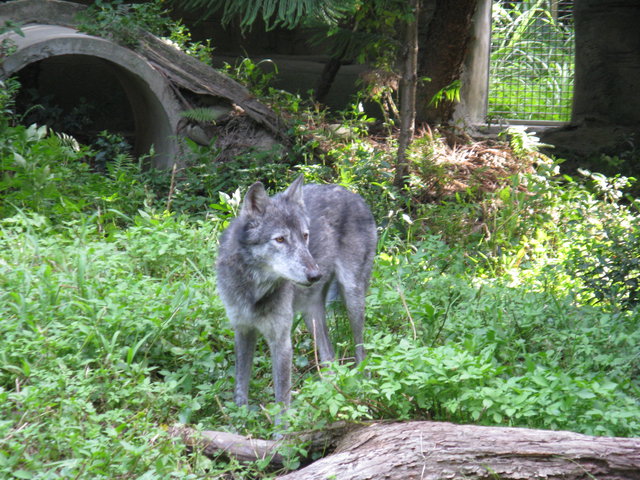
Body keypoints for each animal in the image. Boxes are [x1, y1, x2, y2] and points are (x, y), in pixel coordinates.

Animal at [216, 174, 376, 406]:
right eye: (280, 239)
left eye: (305, 236)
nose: (315, 275)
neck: (253, 290)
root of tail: (351, 193)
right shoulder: (243, 330)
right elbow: (240, 387)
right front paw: (240, 414)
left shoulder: (281, 341)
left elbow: (282, 400)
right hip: (312, 314)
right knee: (330, 357)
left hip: (353, 298)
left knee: (361, 351)